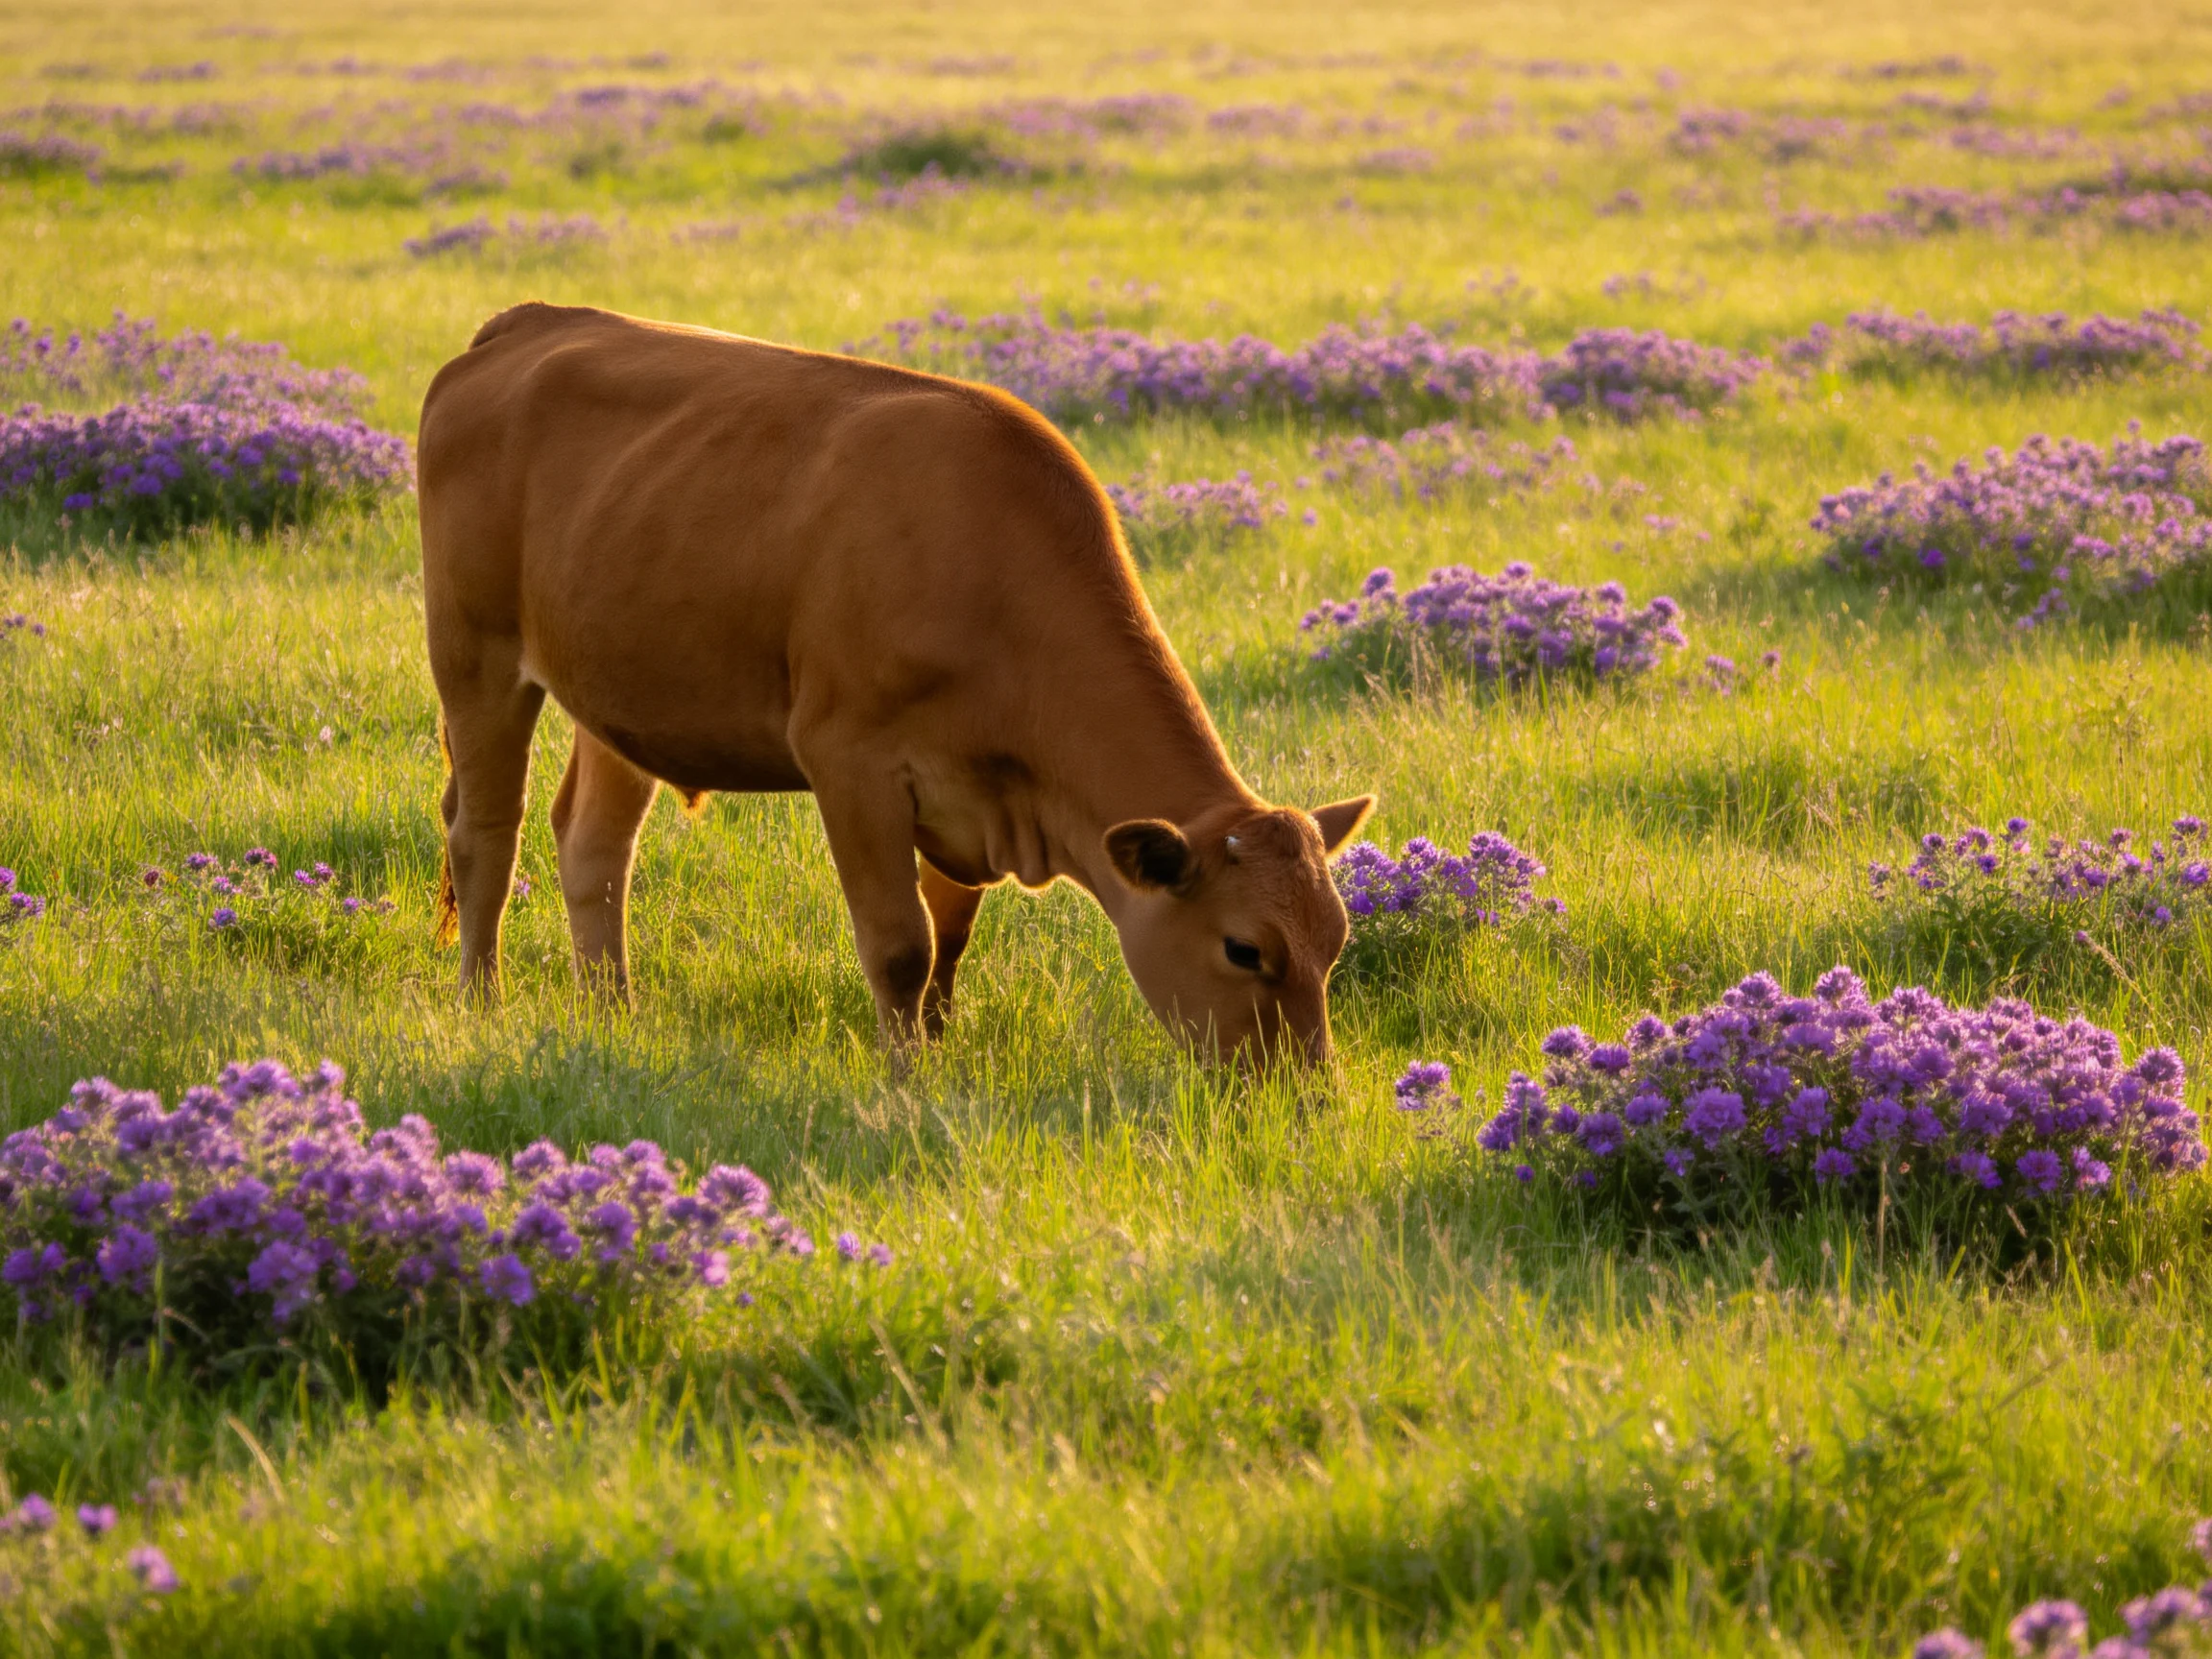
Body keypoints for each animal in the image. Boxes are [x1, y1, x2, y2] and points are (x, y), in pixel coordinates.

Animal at [418, 302, 1374, 1062]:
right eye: (1244, 949)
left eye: (1335, 942)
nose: (1302, 1090)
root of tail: (531, 323)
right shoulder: (850, 762)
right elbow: (899, 946)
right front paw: (904, 1076)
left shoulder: (974, 797)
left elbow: (947, 942)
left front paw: (937, 1052)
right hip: (474, 655)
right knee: (486, 836)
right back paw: (481, 1002)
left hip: (620, 689)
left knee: (593, 846)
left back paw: (612, 1013)